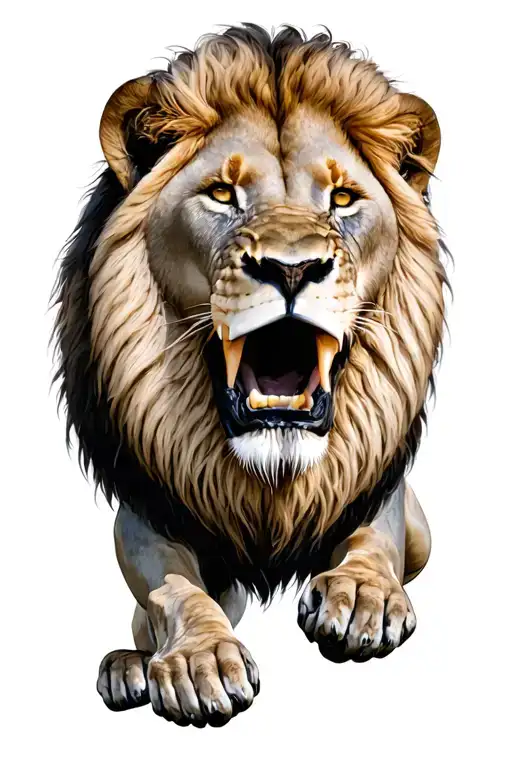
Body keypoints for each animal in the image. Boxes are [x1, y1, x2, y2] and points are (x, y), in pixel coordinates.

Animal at [53, 24, 447, 726]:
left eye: (342, 199)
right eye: (222, 194)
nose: (292, 269)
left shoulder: (379, 486)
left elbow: (375, 540)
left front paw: (361, 597)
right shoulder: (145, 512)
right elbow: (173, 589)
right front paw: (201, 660)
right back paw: (128, 666)